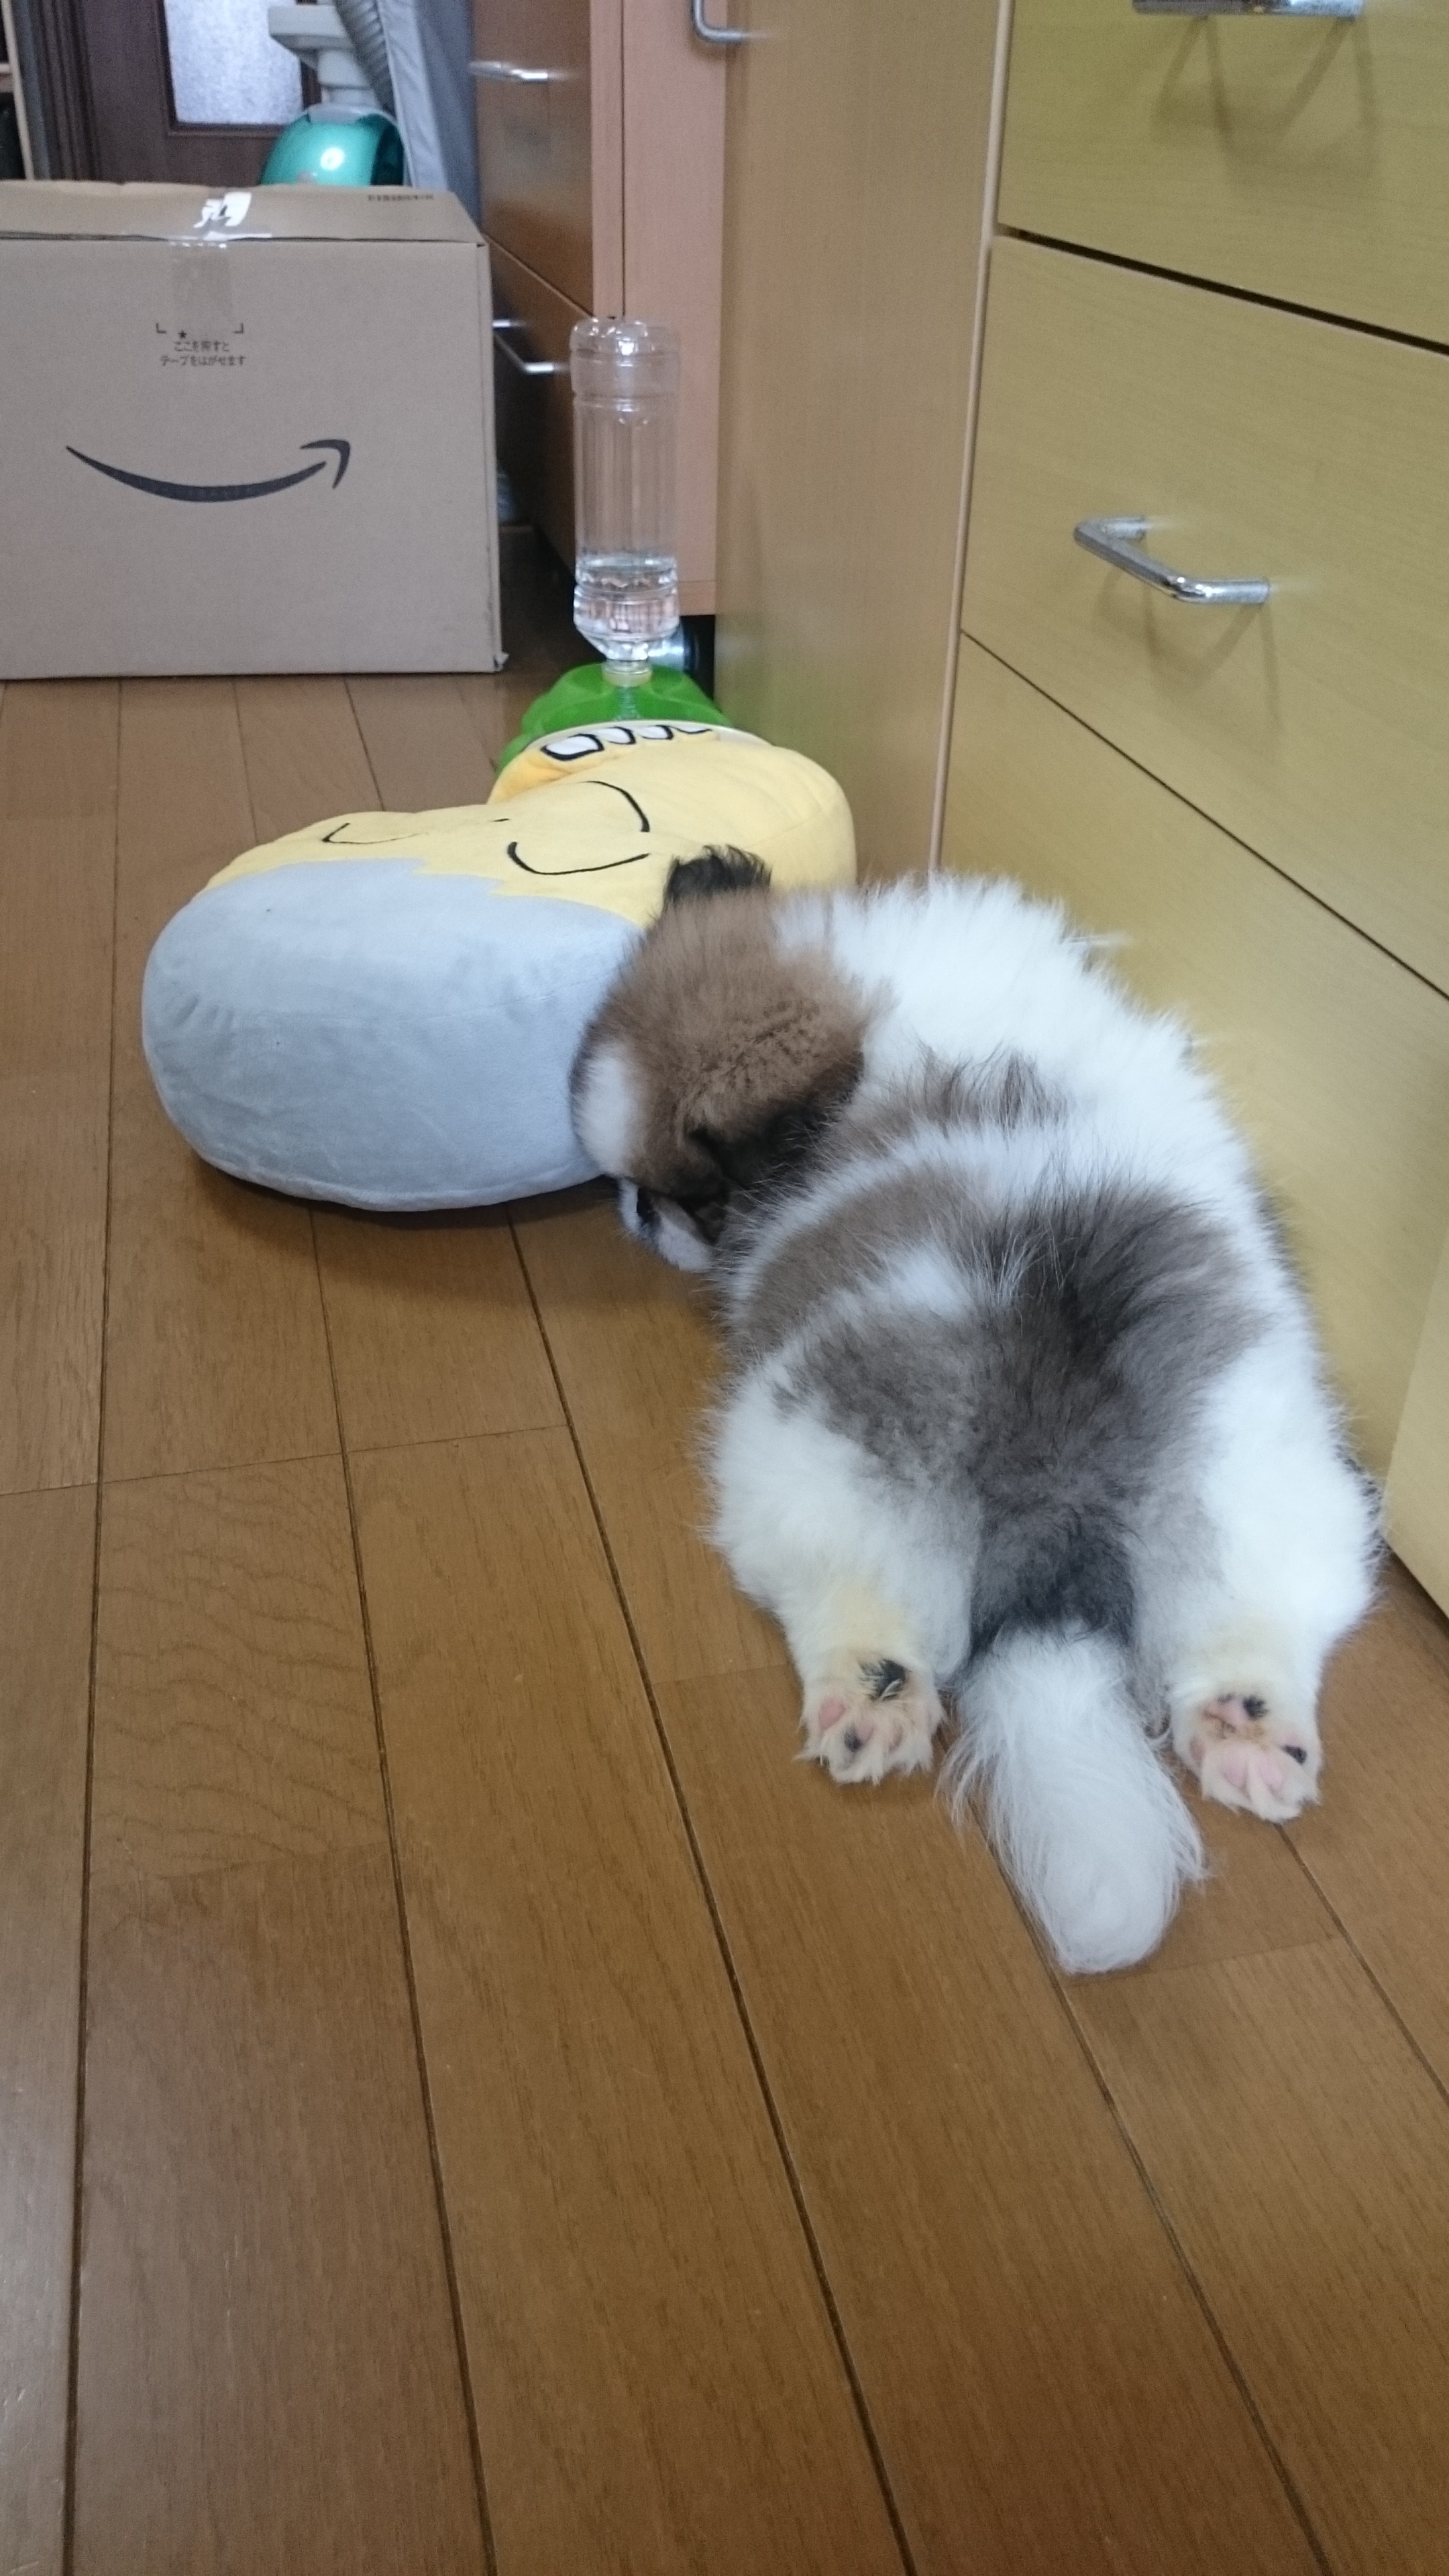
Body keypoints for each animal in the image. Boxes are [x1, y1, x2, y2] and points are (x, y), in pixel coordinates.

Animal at [571, 852, 1377, 1972]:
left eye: (697, 1196)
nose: (638, 1211)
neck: (887, 1006)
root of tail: (1056, 1518)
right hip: (1260, 1486)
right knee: (1256, 1621)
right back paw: (1247, 1733)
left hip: (813, 1465)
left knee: (854, 1601)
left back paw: (873, 1704)